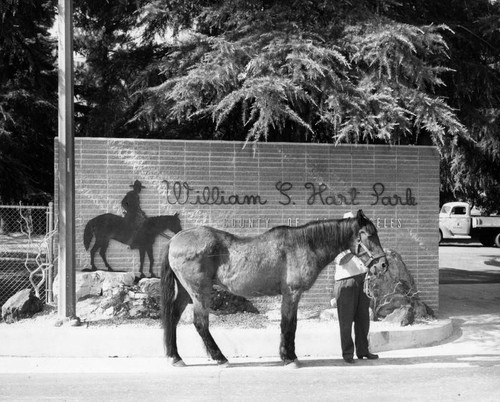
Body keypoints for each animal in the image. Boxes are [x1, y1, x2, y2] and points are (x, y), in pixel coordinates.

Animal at [162, 209, 388, 370]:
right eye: (368, 235)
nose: (383, 265)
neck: (302, 244)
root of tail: (175, 239)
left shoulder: (291, 296)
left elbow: (289, 325)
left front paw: (289, 355)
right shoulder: (292, 293)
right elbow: (288, 325)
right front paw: (289, 358)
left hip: (185, 292)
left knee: (172, 317)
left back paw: (176, 357)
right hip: (199, 292)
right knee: (201, 323)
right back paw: (220, 358)